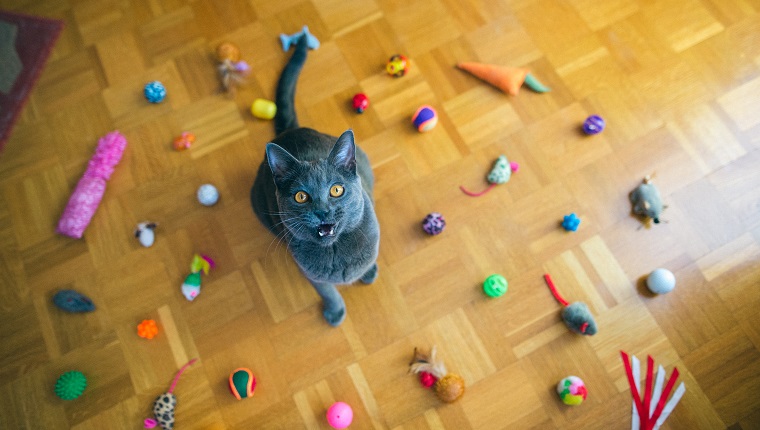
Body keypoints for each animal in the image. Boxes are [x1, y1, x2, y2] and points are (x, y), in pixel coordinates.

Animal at [251, 37, 378, 326]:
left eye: (336, 190)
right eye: (301, 196)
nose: (322, 211)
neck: (336, 250)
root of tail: (289, 130)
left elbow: (367, 262)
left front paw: (368, 272)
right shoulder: (310, 272)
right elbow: (327, 290)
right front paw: (335, 311)